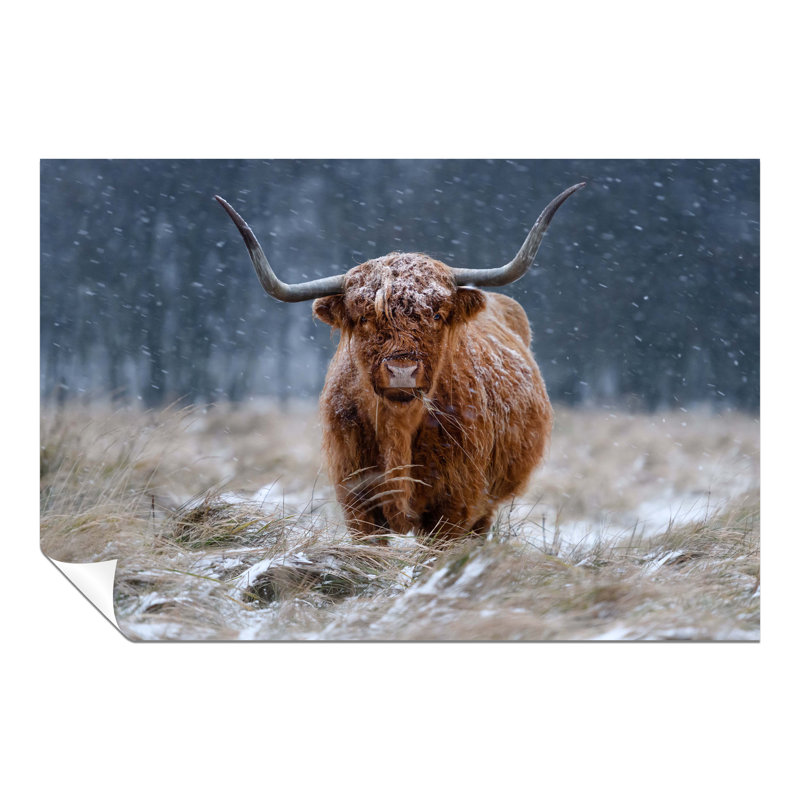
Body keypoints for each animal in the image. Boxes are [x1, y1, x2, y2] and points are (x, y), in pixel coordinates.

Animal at [216, 183, 584, 541]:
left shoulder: (455, 505)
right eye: (365, 318)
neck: (398, 428)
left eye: (436, 314)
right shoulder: (357, 501)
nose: (402, 371)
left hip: (486, 505)